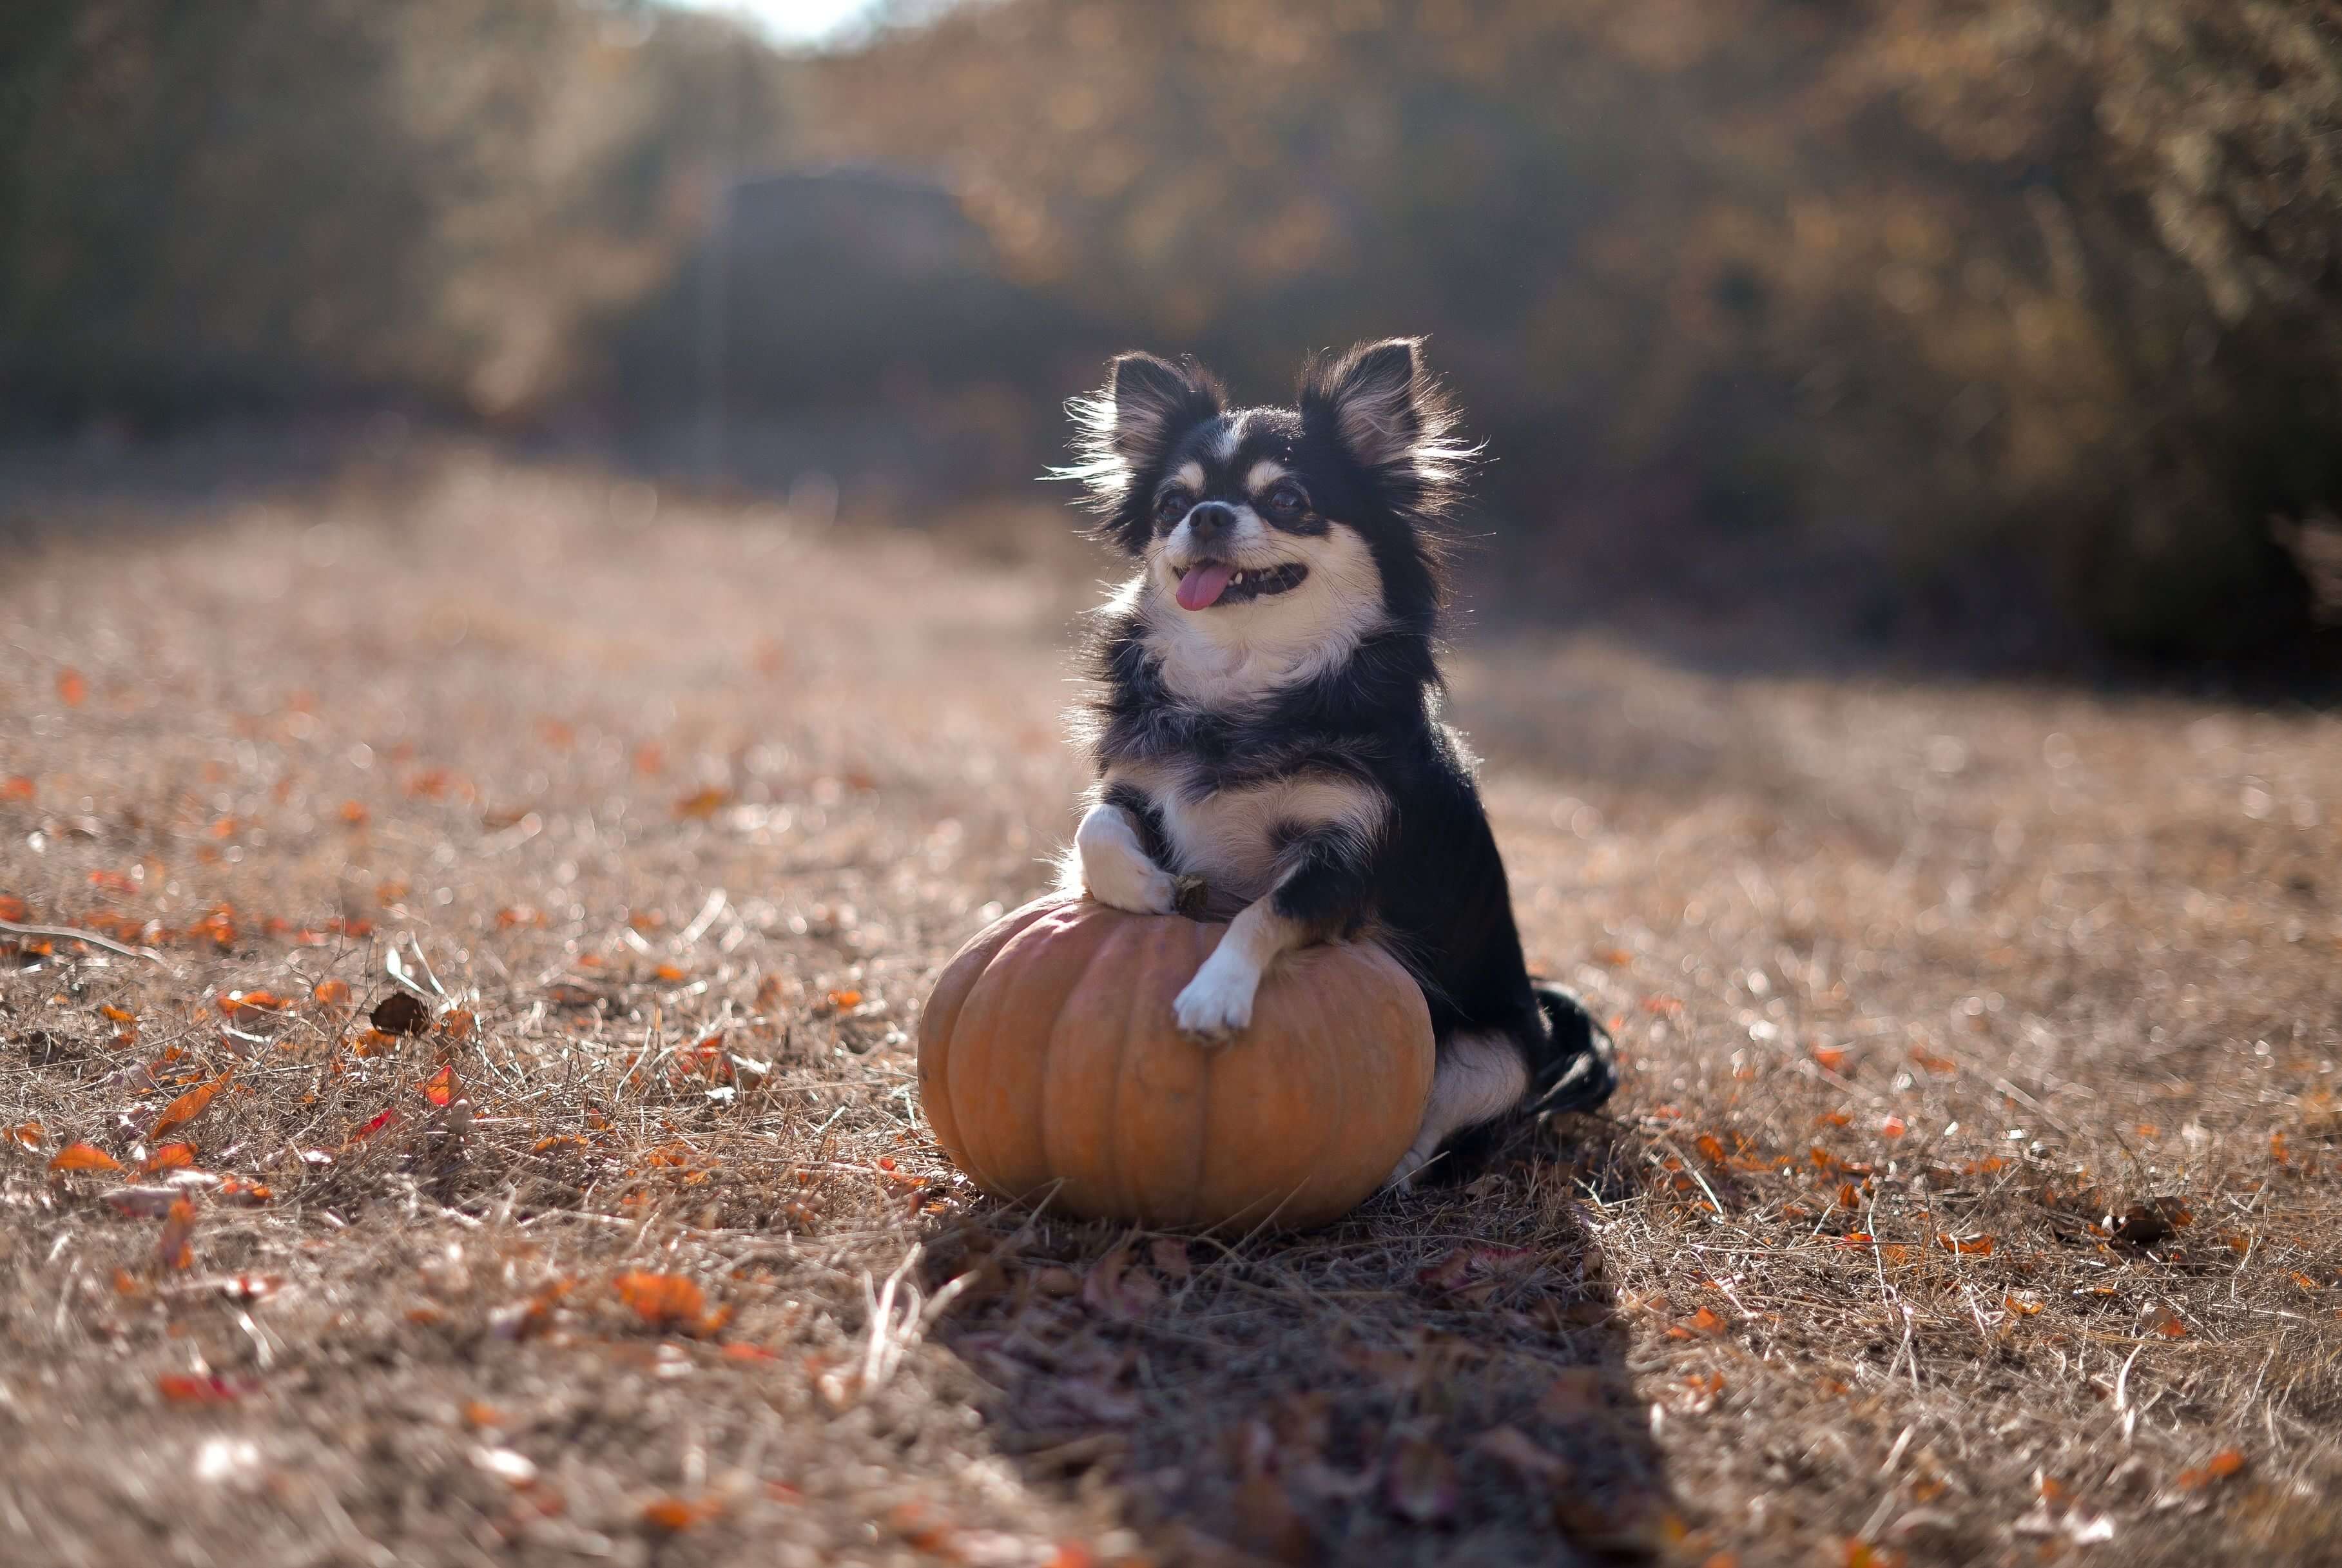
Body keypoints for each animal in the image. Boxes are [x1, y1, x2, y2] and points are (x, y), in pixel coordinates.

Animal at [1058, 334, 1611, 1193]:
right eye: (1171, 506)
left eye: (1288, 501)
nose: (1207, 516)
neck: (1244, 678)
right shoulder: (1138, 790)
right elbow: (1095, 828)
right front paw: (1145, 890)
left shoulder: (1343, 858)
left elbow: (1262, 911)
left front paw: (1215, 994)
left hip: (1497, 1055)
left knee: (1440, 1121)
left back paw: (1390, 1176)